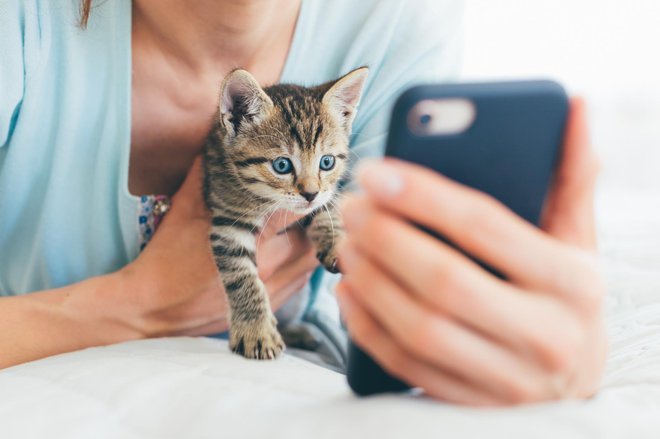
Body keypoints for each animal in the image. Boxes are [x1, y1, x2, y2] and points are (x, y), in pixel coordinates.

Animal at [202, 67, 366, 360]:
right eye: (282, 165)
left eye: (327, 162)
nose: (310, 193)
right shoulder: (228, 220)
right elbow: (242, 277)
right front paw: (256, 331)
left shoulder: (326, 194)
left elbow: (328, 210)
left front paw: (336, 244)